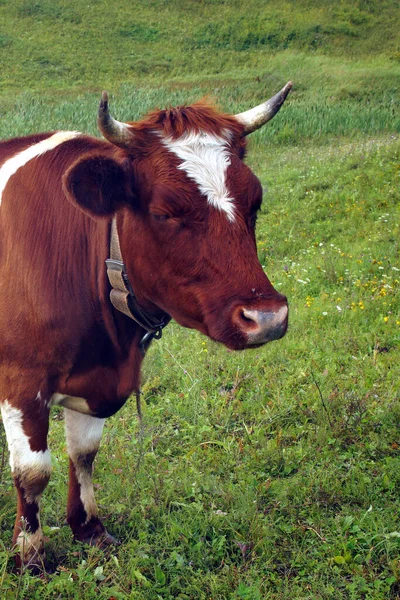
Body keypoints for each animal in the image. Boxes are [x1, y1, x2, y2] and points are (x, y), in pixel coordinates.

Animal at [0, 83, 290, 568]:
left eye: (256, 202)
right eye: (165, 212)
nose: (266, 317)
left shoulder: (97, 377)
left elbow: (85, 454)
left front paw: (90, 529)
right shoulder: (20, 380)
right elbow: (33, 472)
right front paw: (30, 555)